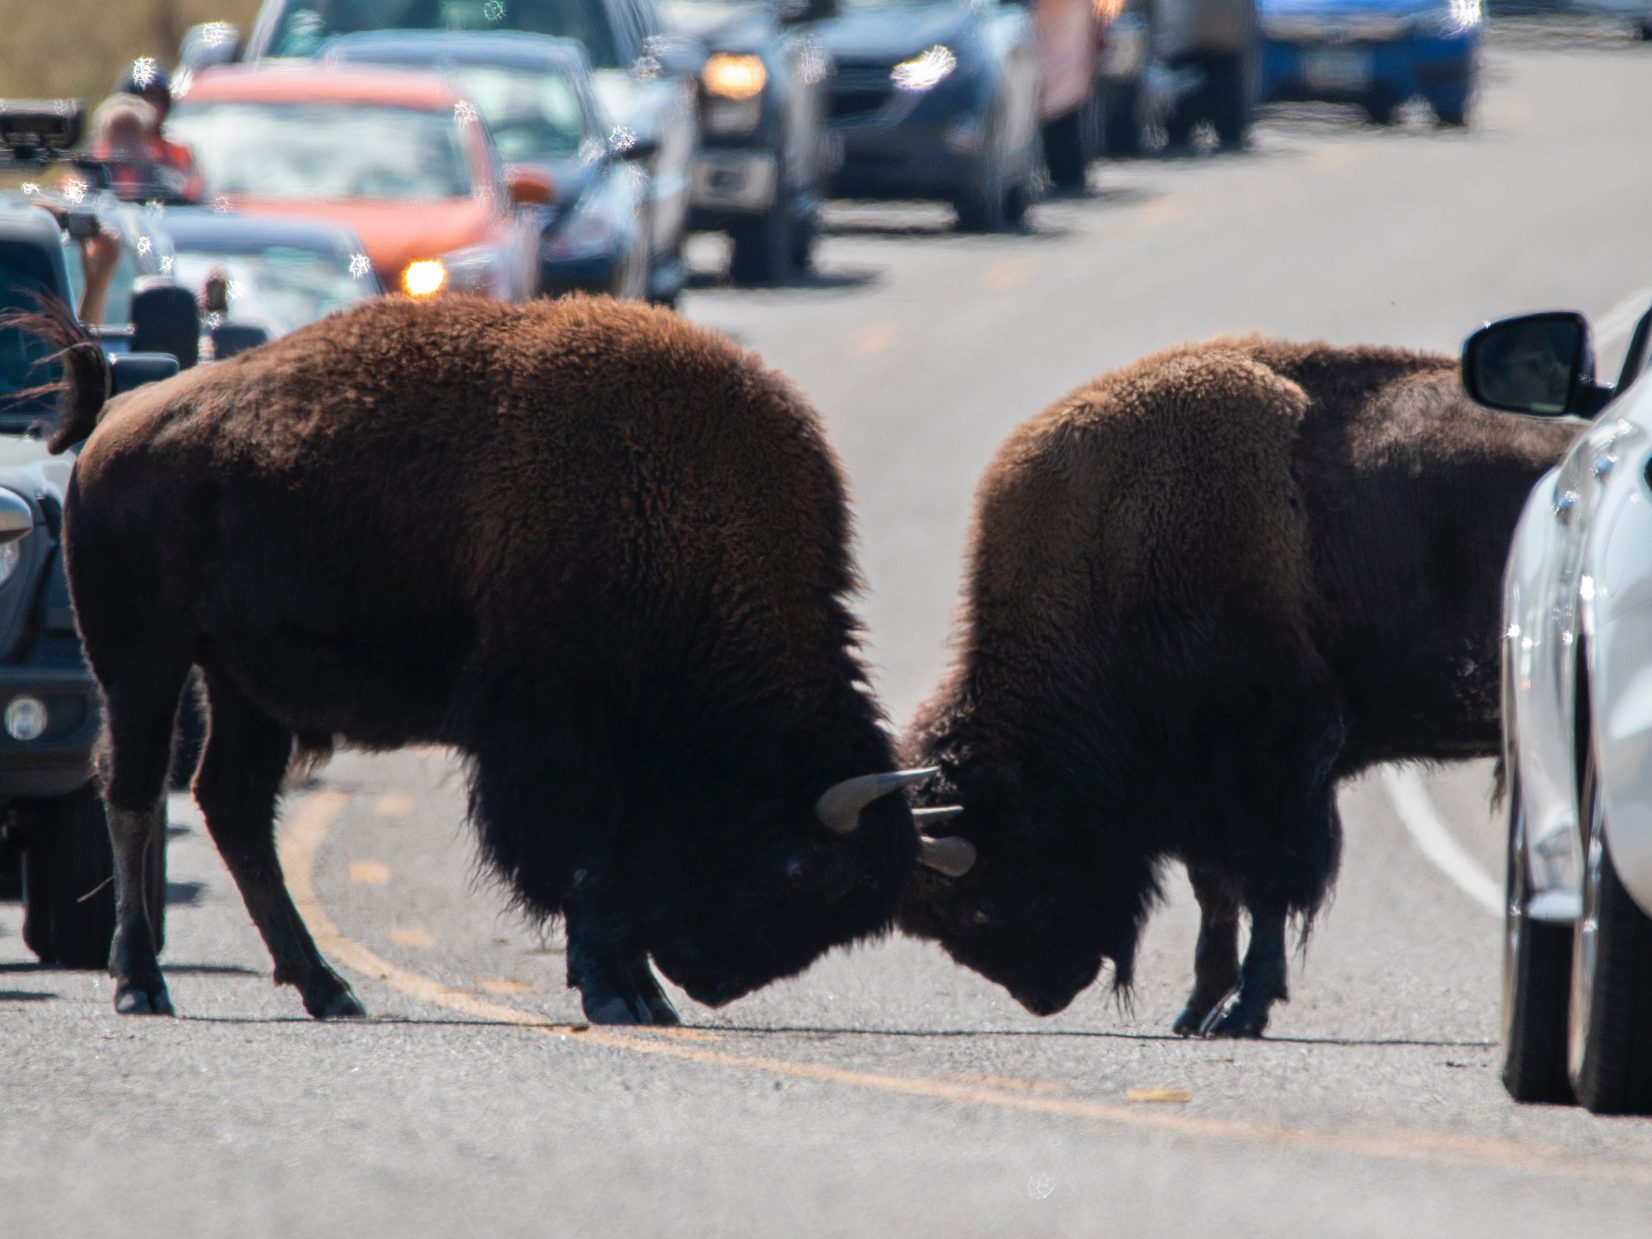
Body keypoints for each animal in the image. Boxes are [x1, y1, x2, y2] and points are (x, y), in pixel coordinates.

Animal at [38, 295, 964, 1024]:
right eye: (800, 867)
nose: (716, 982)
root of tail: (121, 415)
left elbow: (607, 869)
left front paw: (642, 991)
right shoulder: (549, 737)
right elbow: (580, 865)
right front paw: (619, 992)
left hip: (245, 686)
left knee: (232, 808)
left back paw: (328, 988)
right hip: (142, 662)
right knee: (133, 789)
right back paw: (141, 983)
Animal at [898, 337, 1579, 1037]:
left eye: (981, 900)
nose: (1043, 994)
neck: (1110, 558)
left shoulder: (1271, 765)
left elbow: (1268, 887)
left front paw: (1242, 1009)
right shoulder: (1201, 789)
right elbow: (1217, 892)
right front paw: (1198, 1008)